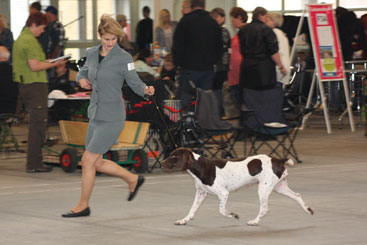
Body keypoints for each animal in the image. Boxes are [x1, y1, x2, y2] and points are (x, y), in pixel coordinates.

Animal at [162, 147, 314, 226]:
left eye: (174, 157)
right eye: (170, 155)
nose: (162, 163)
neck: (200, 167)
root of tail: (278, 159)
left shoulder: (223, 193)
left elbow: (222, 211)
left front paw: (233, 215)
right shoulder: (201, 193)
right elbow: (192, 209)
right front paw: (184, 220)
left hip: (264, 189)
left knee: (264, 208)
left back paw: (254, 221)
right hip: (279, 187)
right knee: (297, 195)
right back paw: (308, 209)